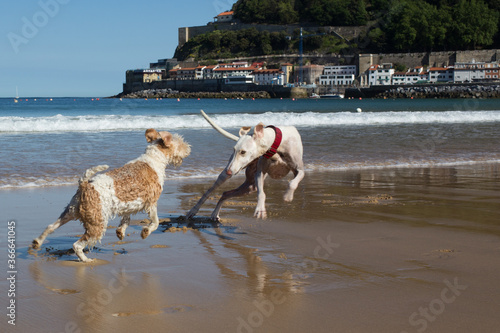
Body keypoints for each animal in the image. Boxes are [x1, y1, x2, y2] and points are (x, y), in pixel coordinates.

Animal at [31, 128, 190, 260]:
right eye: (180, 142)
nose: (189, 148)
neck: (153, 159)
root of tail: (85, 184)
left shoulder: (129, 205)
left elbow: (126, 220)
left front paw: (120, 232)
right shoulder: (151, 202)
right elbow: (155, 222)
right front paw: (145, 232)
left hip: (70, 212)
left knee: (50, 227)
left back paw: (36, 243)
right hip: (97, 223)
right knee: (77, 245)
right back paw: (87, 260)